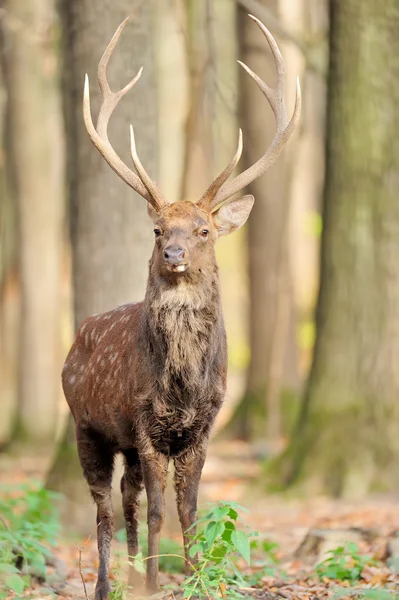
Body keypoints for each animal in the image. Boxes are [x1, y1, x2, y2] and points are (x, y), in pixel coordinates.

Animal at [61, 14, 300, 600]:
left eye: (204, 230)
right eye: (157, 229)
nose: (173, 253)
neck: (183, 388)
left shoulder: (203, 426)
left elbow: (190, 511)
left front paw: (199, 580)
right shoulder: (145, 424)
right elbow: (158, 513)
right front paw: (155, 583)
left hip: (118, 438)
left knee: (125, 498)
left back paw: (125, 575)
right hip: (86, 424)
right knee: (104, 508)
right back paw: (108, 585)